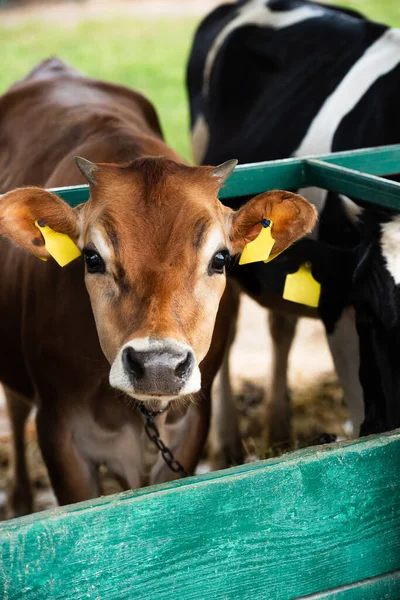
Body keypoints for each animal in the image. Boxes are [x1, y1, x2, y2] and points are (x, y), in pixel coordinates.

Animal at [0, 59, 316, 516]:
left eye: (220, 259)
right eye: (91, 258)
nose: (159, 367)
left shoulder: (190, 429)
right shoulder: (60, 434)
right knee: (15, 408)